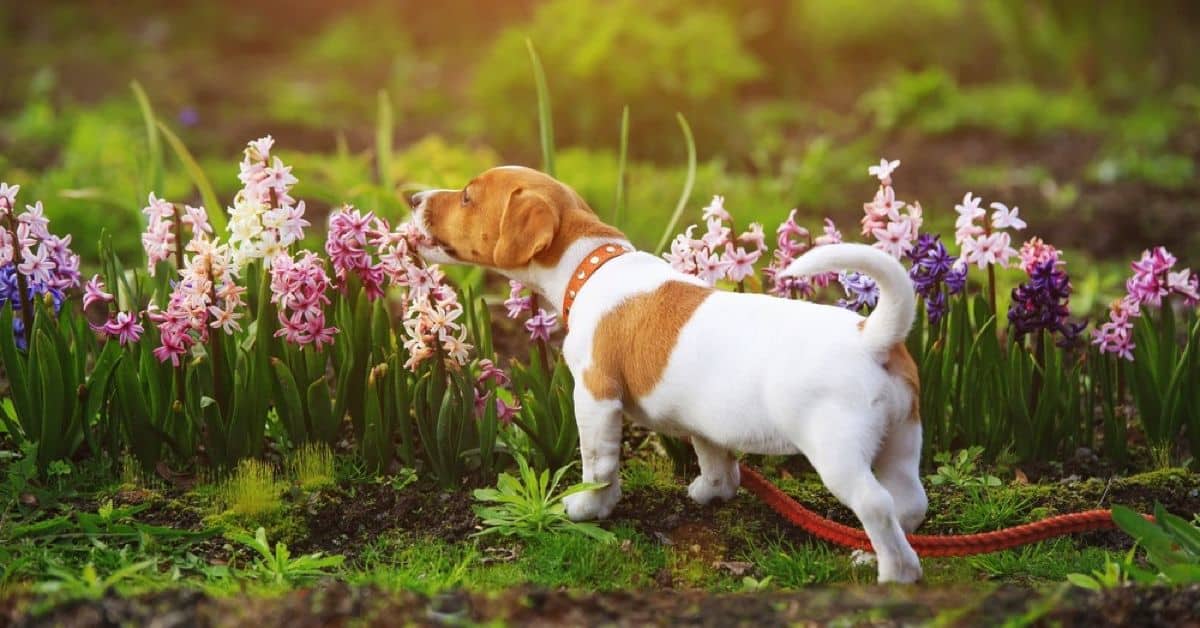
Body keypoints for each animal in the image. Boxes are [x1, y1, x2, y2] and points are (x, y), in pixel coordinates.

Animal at [412, 166, 926, 585]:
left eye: (466, 197)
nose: (414, 197)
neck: (591, 266)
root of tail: (872, 335)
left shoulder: (595, 398)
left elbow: (598, 465)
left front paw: (590, 509)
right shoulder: (706, 423)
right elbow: (715, 459)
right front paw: (711, 492)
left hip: (837, 453)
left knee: (877, 504)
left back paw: (894, 573)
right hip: (902, 440)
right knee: (909, 502)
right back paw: (871, 554)